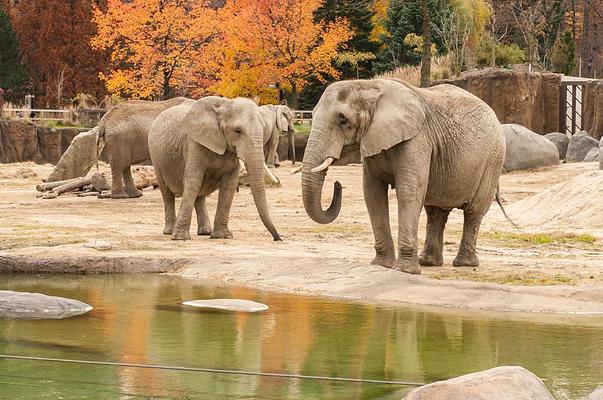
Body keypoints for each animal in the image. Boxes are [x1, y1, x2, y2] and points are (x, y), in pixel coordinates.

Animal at [147, 97, 282, 241]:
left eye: (263, 129)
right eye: (237, 131)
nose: (277, 238)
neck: (224, 105)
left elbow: (229, 185)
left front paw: (222, 236)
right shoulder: (194, 144)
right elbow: (193, 182)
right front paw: (180, 238)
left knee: (199, 193)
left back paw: (205, 231)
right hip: (156, 157)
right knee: (167, 193)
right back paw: (170, 232)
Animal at [302, 78, 504, 276]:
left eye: (342, 120)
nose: (337, 183)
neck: (368, 85)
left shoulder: (417, 139)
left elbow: (408, 193)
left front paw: (405, 270)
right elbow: (372, 195)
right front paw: (381, 265)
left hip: (494, 158)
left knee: (474, 211)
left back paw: (464, 264)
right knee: (435, 212)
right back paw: (428, 262)